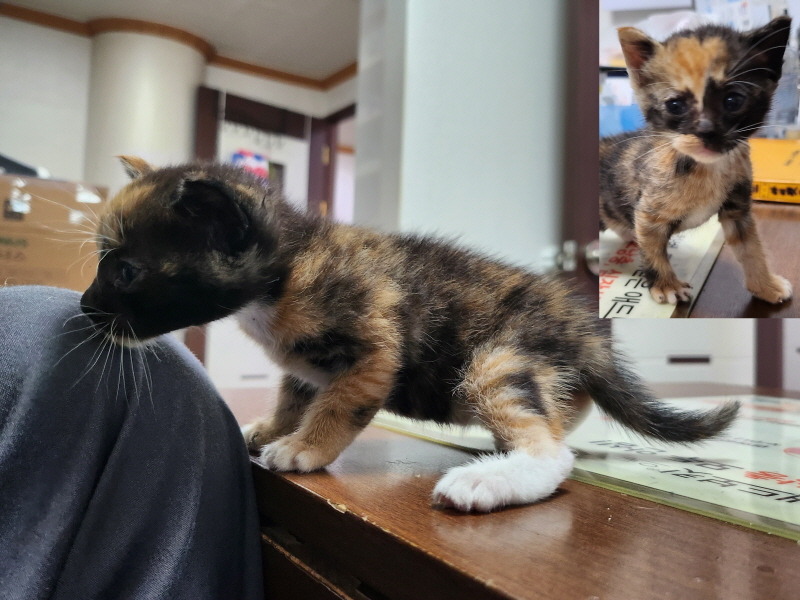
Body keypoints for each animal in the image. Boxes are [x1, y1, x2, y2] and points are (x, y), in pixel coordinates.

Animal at [81, 157, 736, 512]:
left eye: (125, 271)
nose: (86, 307)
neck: (291, 264)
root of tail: (588, 335)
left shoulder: (375, 345)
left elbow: (338, 403)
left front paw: (301, 448)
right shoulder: (302, 363)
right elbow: (296, 392)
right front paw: (268, 427)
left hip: (497, 360)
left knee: (553, 454)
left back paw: (487, 480)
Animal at [600, 17, 792, 304]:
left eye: (733, 100)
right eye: (675, 105)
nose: (706, 131)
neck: (707, 169)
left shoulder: (738, 208)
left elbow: (752, 249)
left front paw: (765, 286)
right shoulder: (649, 214)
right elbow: (654, 252)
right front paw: (667, 285)